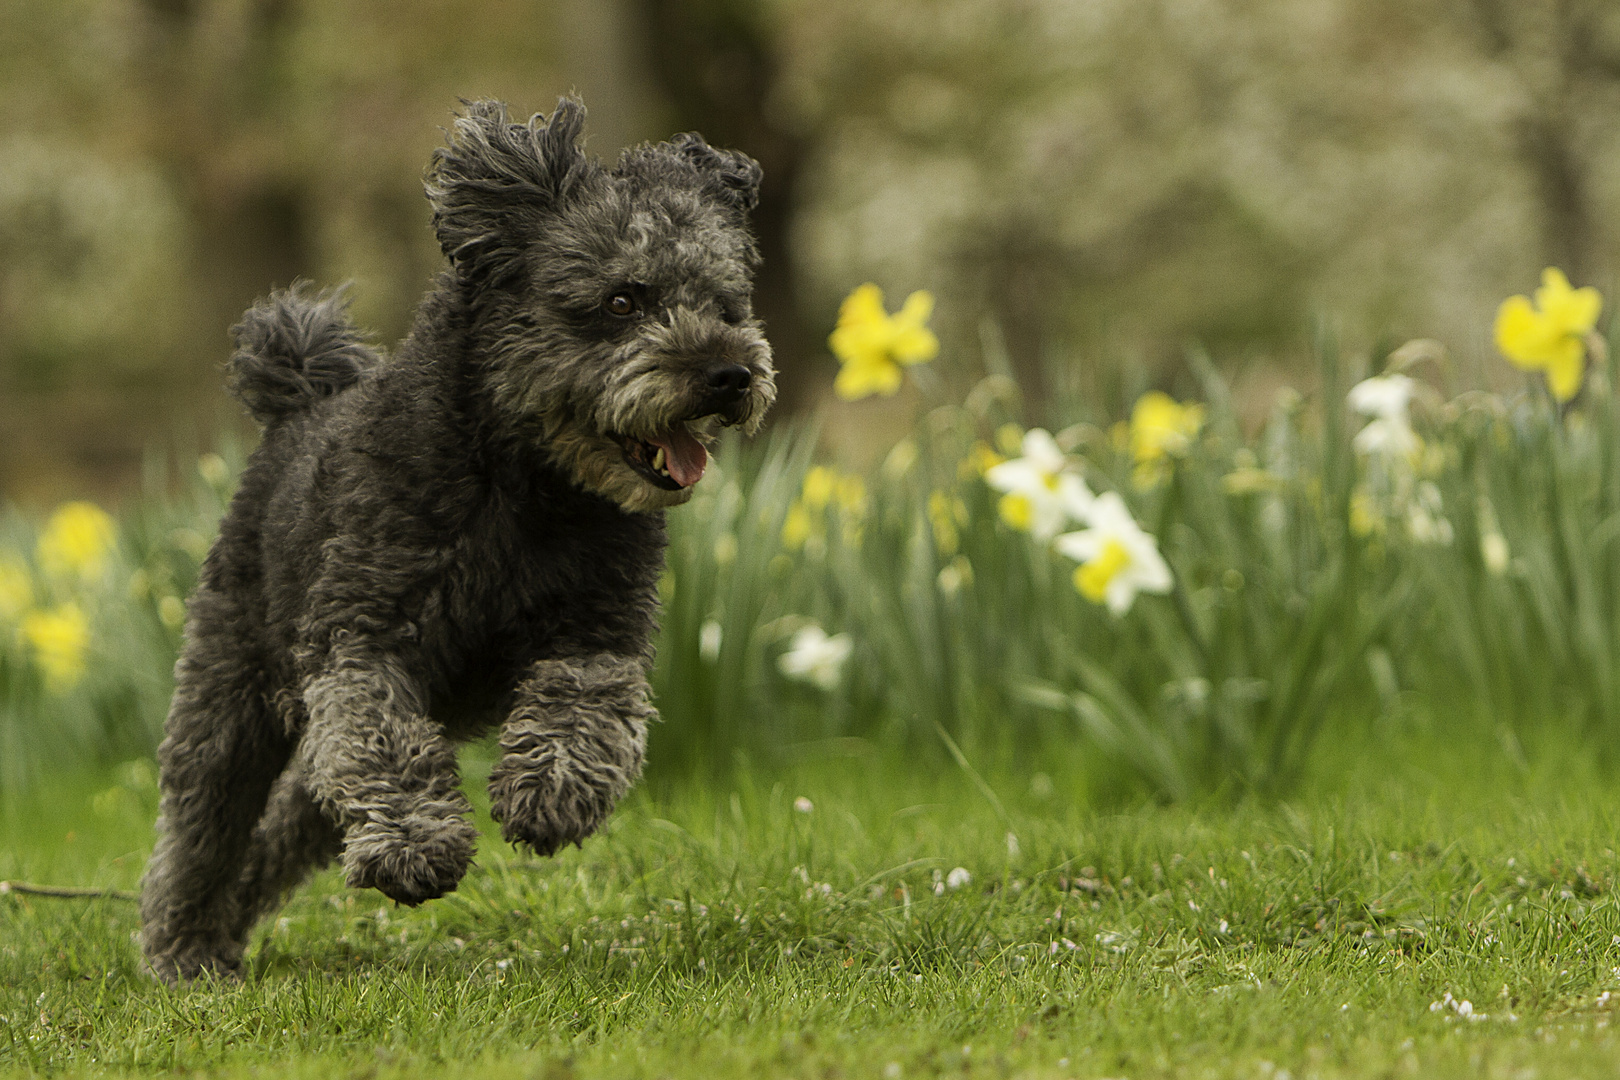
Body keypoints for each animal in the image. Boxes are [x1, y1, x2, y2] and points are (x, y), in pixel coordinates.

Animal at [137, 101, 771, 990]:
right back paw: (184, 946)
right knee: (202, 828)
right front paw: (417, 847)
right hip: (230, 691)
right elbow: (384, 744)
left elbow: (588, 704)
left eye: (723, 302)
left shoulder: (597, 628)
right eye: (622, 299)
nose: (730, 375)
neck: (522, 491)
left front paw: (549, 795)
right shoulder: (362, 643)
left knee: (296, 815)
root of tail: (298, 400)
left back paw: (230, 924)